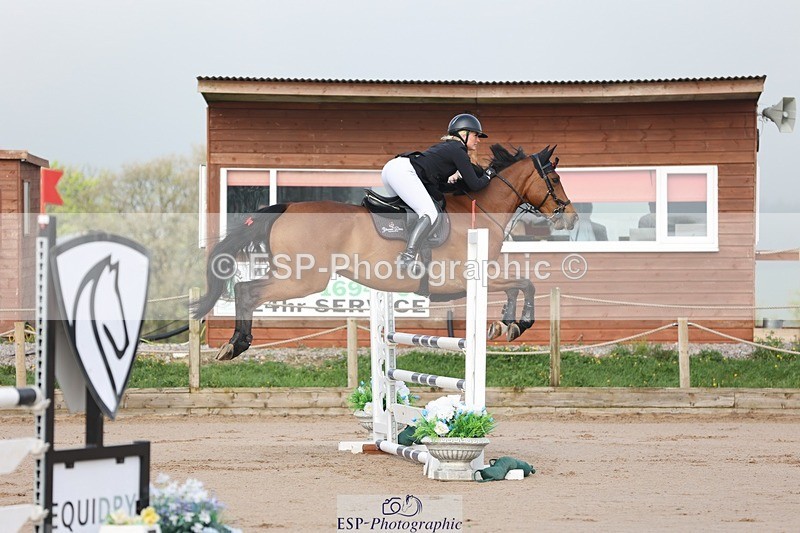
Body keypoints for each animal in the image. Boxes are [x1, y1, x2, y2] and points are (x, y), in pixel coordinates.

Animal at [193, 144, 577, 360]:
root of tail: (285, 207)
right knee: (247, 290)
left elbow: (517, 286)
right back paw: (236, 345)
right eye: (556, 179)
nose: (571, 217)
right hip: (303, 279)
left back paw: (234, 344)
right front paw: (518, 325)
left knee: (245, 290)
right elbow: (526, 283)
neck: (481, 209)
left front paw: (504, 326)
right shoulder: (465, 278)